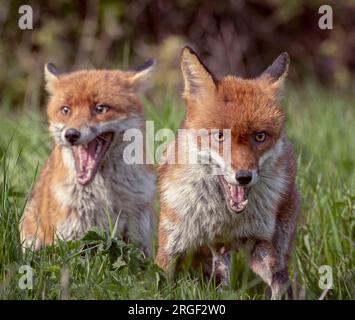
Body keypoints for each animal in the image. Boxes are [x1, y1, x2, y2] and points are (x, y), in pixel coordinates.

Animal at [20, 59, 156, 255]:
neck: (104, 197)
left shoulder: (138, 239)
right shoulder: (69, 242)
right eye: (66, 110)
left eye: (101, 108)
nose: (71, 134)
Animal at [158, 46, 300, 298]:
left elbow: (279, 279)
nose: (243, 177)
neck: (223, 218)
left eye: (260, 136)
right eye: (220, 136)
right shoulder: (170, 242)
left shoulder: (257, 241)